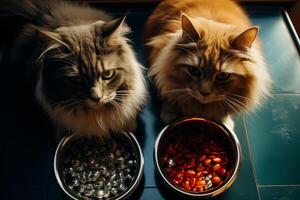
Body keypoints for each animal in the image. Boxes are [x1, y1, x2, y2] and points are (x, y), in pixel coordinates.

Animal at [144, 0, 270, 128]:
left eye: (223, 76)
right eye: (194, 71)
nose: (204, 93)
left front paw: (224, 120)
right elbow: (169, 92)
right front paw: (170, 112)